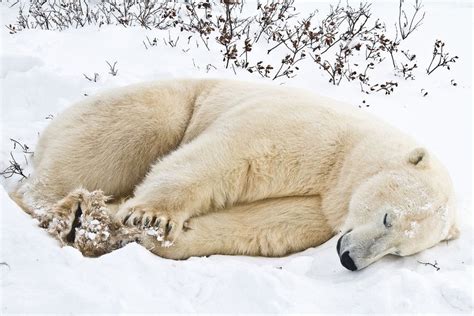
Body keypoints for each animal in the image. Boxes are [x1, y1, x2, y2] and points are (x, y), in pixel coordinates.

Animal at [15, 79, 460, 272]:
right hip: (144, 107)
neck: (347, 159)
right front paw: (152, 216)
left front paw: (155, 237)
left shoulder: (322, 208)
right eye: (388, 218)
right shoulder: (309, 134)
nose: (349, 259)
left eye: (399, 251)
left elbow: (268, 224)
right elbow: (232, 157)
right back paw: (67, 213)